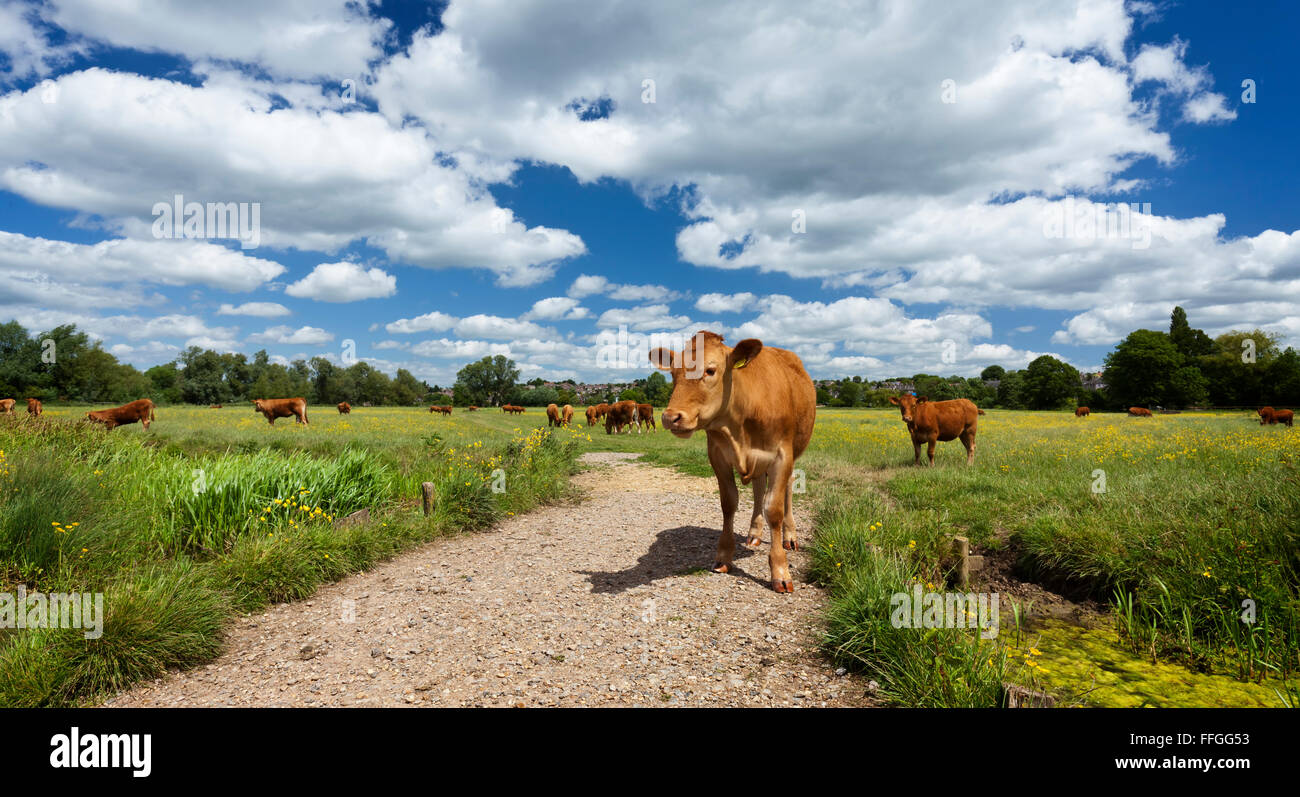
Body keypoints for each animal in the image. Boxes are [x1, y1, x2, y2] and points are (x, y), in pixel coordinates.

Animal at [650, 327, 811, 590]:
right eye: (673, 373)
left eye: (710, 370)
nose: (670, 417)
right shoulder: (717, 455)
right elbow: (729, 503)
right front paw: (724, 556)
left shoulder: (782, 455)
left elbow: (774, 509)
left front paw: (780, 570)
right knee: (758, 487)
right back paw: (754, 534)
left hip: (795, 450)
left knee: (787, 489)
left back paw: (790, 536)